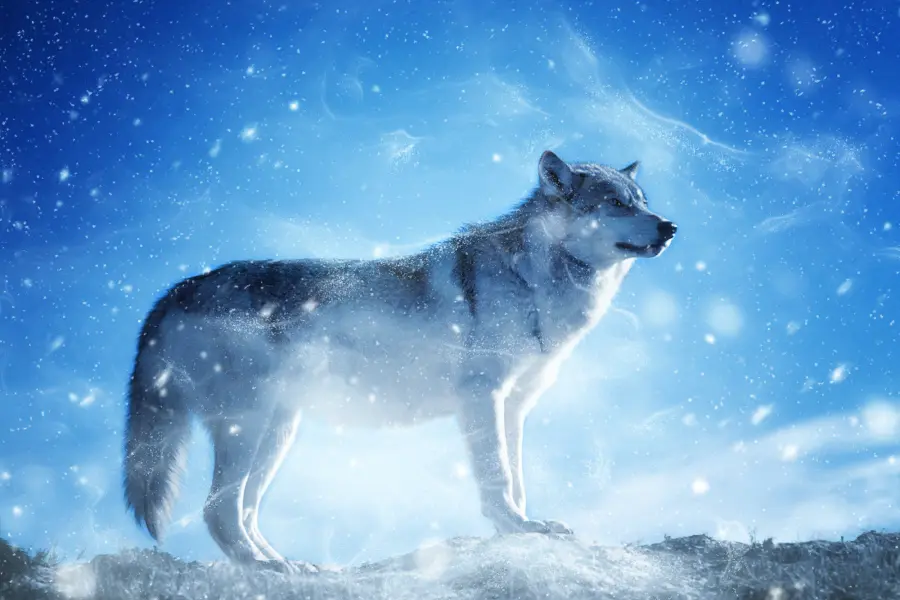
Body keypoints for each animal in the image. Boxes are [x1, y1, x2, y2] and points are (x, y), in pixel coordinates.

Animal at [122, 150, 677, 571]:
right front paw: (514, 528)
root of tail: (174, 290)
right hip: (248, 427)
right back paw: (262, 569)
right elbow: (498, 477)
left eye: (642, 203)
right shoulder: (482, 398)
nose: (670, 227)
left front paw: (525, 528)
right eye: (615, 204)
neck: (532, 278)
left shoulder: (515, 406)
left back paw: (288, 565)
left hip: (278, 433)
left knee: (245, 511)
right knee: (217, 512)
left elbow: (518, 479)